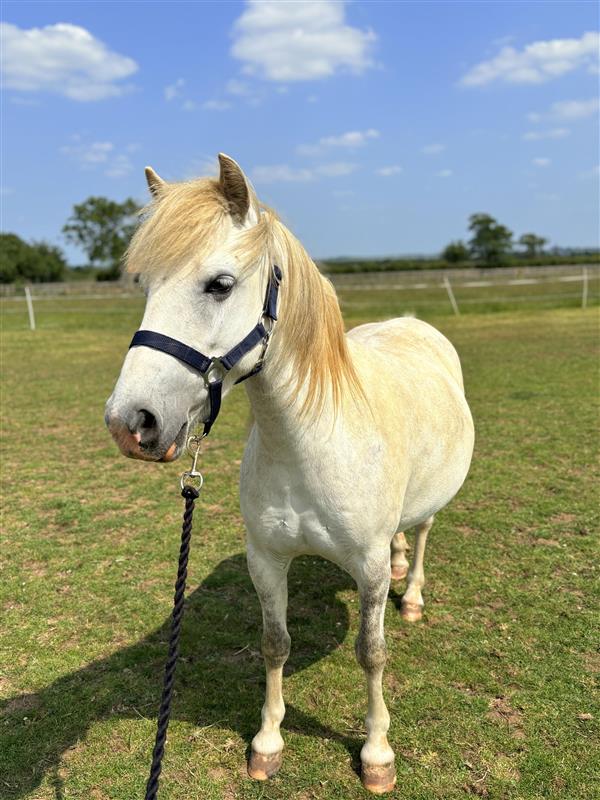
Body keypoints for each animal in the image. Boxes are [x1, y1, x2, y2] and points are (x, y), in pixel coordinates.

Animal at [105, 154, 474, 794]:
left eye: (220, 284)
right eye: (145, 285)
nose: (131, 422)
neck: (310, 444)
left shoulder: (366, 568)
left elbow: (372, 652)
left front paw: (377, 754)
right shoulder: (267, 559)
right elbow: (275, 644)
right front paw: (267, 742)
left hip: (430, 505)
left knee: (423, 533)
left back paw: (412, 596)